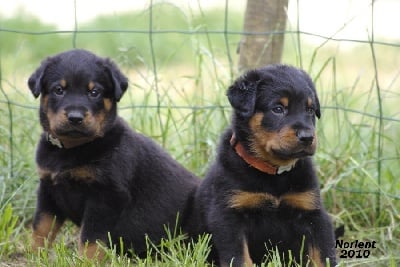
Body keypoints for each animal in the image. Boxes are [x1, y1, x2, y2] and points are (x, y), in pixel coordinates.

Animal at [28, 48, 200, 260]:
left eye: (94, 92)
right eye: (58, 90)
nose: (75, 117)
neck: (73, 148)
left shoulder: (106, 196)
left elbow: (91, 238)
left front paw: (86, 261)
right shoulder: (48, 189)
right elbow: (41, 227)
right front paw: (35, 255)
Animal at [188, 65, 338, 267]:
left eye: (310, 110)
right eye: (278, 109)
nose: (307, 137)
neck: (274, 172)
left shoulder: (314, 214)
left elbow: (323, 255)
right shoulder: (228, 216)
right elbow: (240, 258)